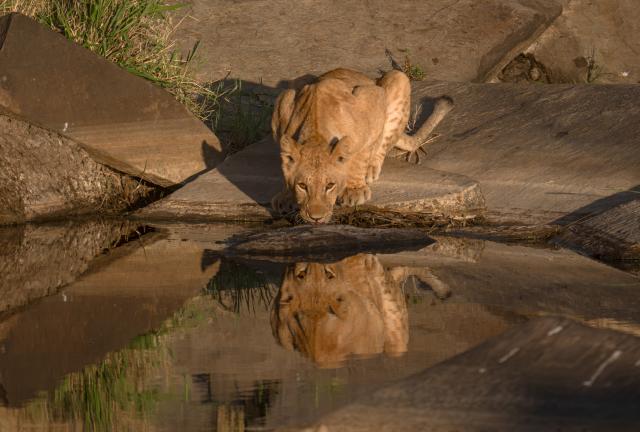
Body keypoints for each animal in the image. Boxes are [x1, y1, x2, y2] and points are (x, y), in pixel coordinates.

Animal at [271, 68, 454, 223]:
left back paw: (371, 169)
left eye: (329, 186)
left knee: (384, 142)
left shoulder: (371, 98)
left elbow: (361, 155)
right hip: (291, 87)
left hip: (397, 77)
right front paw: (286, 196)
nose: (316, 218)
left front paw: (355, 190)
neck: (316, 134)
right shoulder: (283, 104)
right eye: (302, 186)